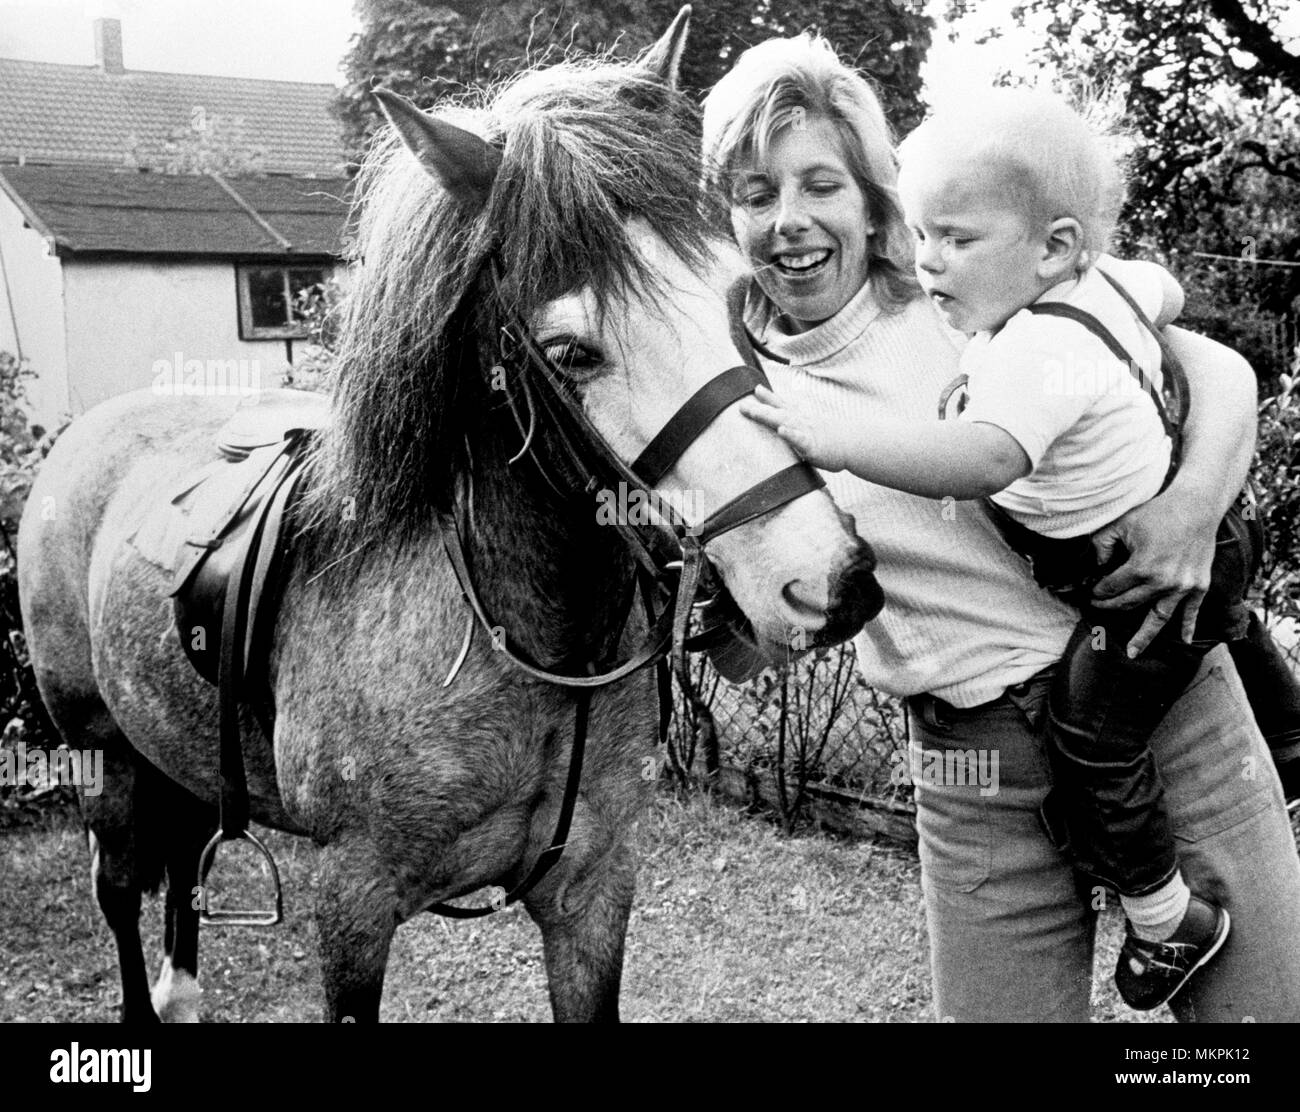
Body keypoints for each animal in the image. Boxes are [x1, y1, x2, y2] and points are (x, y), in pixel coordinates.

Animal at [15, 8, 878, 1019]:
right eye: (570, 351)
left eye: (736, 291)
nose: (824, 580)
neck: (528, 643)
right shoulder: (352, 904)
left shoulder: (594, 895)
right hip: (100, 752)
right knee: (118, 893)